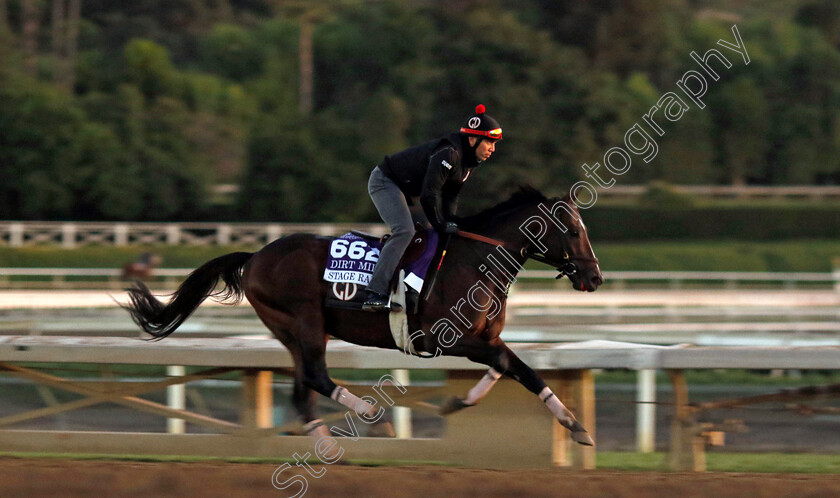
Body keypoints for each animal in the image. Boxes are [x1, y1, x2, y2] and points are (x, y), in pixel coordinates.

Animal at [123, 187, 604, 448]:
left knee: (304, 387)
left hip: (294, 332)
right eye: (572, 230)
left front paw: (575, 425)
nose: (595, 276)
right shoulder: (449, 337)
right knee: (317, 377)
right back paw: (373, 416)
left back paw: (326, 439)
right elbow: (509, 364)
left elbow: (517, 368)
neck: (476, 260)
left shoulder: (485, 338)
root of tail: (256, 255)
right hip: (304, 322)